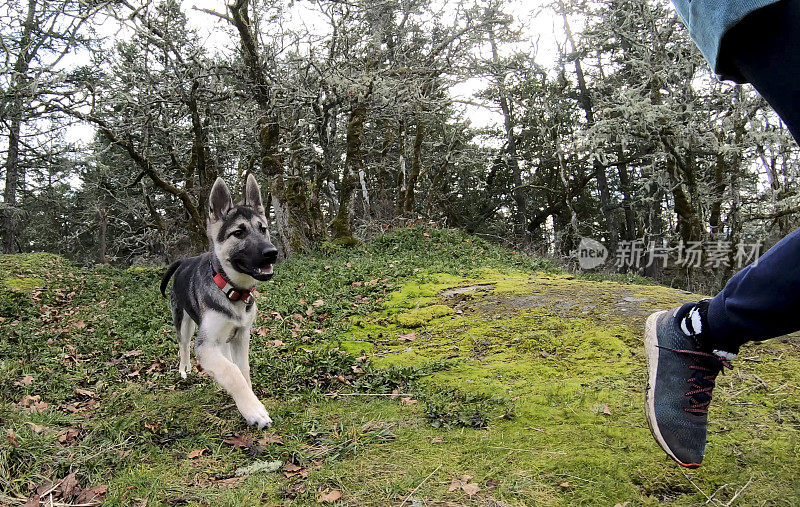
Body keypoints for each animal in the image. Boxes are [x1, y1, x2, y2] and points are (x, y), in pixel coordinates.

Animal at [159, 175, 278, 428]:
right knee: (183, 346)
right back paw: (184, 369)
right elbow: (233, 374)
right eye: (239, 233)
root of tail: (184, 260)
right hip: (184, 323)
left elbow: (241, 370)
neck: (231, 290)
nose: (272, 253)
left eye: (263, 229)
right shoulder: (205, 346)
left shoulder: (241, 337)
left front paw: (247, 401)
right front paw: (254, 410)